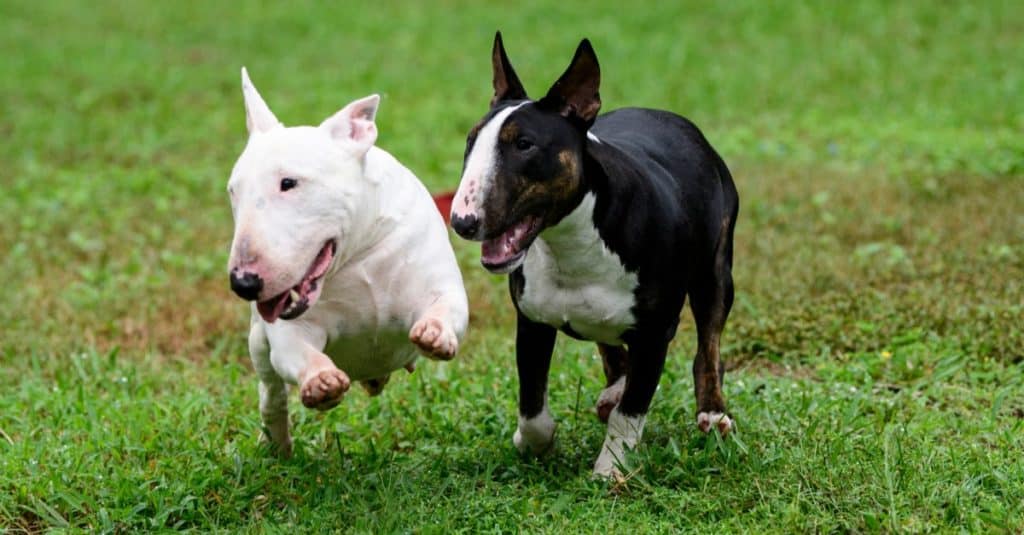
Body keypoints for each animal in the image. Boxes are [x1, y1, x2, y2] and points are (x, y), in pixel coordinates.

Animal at [227, 68, 468, 453]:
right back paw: (277, 445)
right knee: (271, 392)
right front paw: (321, 381)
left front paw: (435, 333)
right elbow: (297, 351)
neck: (357, 255)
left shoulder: (437, 282)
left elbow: (447, 305)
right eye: (233, 191)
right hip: (257, 344)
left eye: (289, 182)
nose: (243, 283)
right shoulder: (291, 330)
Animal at [448, 33, 737, 475]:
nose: (462, 222)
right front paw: (533, 444)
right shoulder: (532, 322)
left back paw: (713, 412)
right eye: (470, 141)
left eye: (524, 144)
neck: (569, 244)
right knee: (611, 348)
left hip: (716, 271)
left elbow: (632, 411)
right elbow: (532, 405)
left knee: (709, 346)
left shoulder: (656, 332)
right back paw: (613, 390)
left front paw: (610, 470)